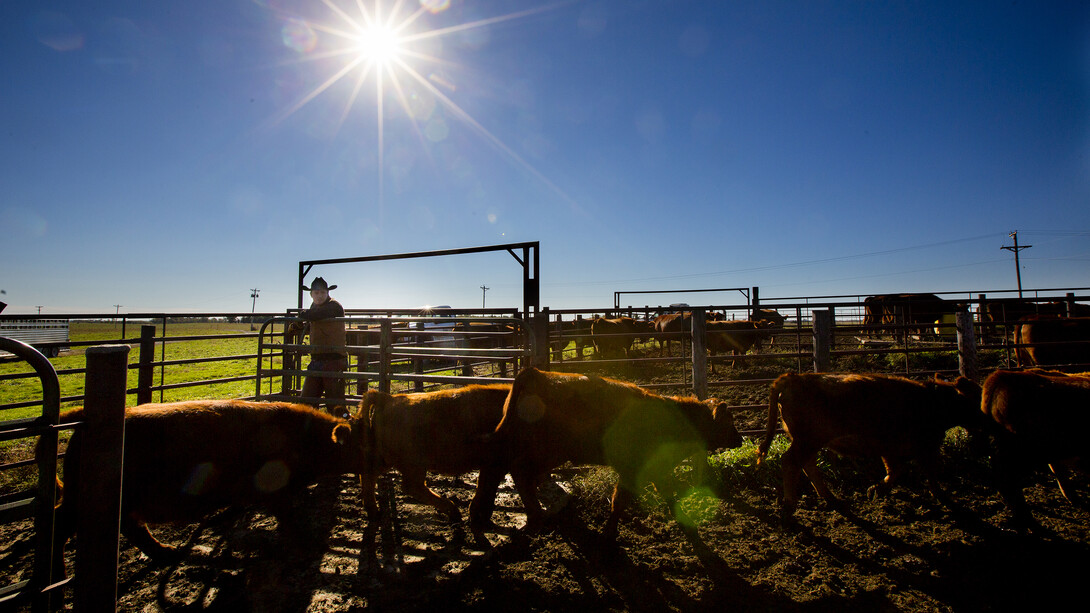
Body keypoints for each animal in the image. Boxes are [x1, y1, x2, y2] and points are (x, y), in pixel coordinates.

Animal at [43, 399, 361, 567]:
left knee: (132, 527)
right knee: (59, 524)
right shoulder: (273, 485)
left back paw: (168, 553)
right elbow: (286, 514)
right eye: (364, 444)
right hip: (84, 496)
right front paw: (307, 541)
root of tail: (79, 419)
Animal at [357, 381, 510, 519]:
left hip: (386, 457)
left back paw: (374, 512)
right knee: (411, 486)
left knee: (369, 474)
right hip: (413, 463)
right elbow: (487, 484)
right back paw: (454, 512)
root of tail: (388, 398)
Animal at [468, 364, 741, 536]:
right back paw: (534, 515)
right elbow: (619, 501)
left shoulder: (654, 468)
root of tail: (534, 374)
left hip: (521, 445)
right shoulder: (632, 468)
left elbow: (667, 493)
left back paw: (480, 513)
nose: (740, 439)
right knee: (518, 472)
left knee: (493, 469)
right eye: (728, 421)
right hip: (546, 451)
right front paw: (609, 534)